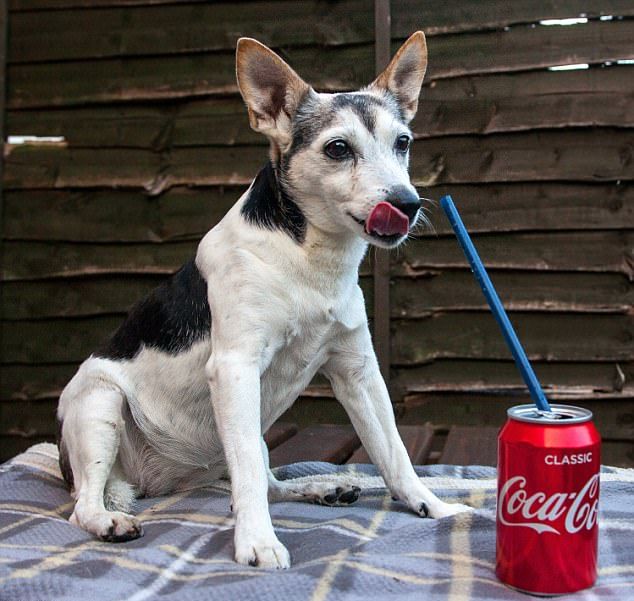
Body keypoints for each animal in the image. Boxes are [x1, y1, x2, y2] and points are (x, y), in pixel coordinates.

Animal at [55, 31, 470, 568]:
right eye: (338, 148)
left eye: (403, 143)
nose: (406, 202)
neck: (309, 260)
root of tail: (160, 483)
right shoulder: (235, 368)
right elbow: (249, 471)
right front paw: (257, 542)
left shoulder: (358, 372)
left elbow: (394, 453)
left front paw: (431, 506)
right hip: (100, 405)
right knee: (84, 505)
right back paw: (109, 520)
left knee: (266, 482)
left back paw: (319, 489)